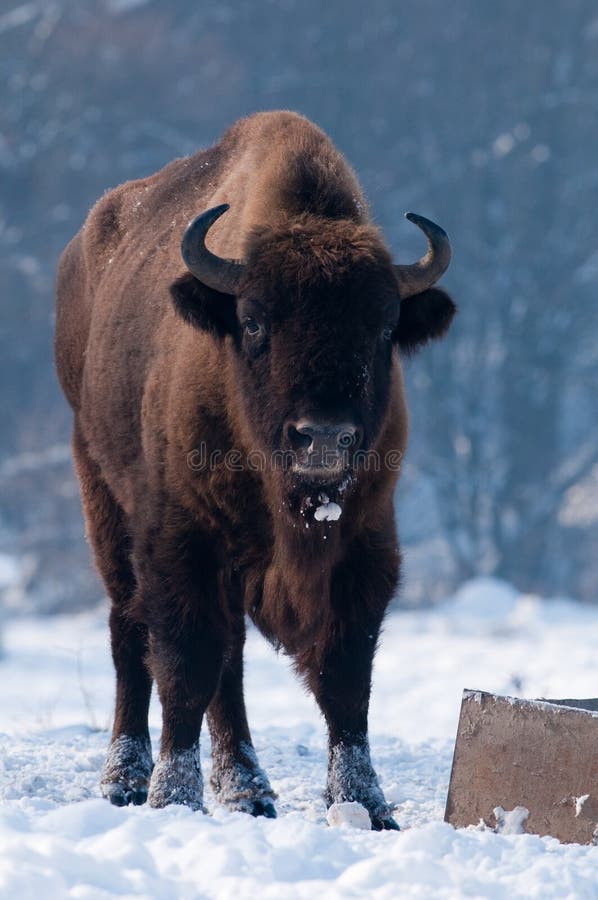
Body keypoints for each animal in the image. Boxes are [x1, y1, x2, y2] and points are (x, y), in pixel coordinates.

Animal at [57, 110, 460, 828]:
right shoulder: (179, 543)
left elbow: (346, 679)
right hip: (102, 498)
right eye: (253, 321)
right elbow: (185, 665)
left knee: (231, 660)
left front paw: (367, 804)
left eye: (385, 327)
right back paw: (126, 779)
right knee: (129, 634)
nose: (322, 436)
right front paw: (173, 797)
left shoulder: (364, 547)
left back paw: (248, 789)